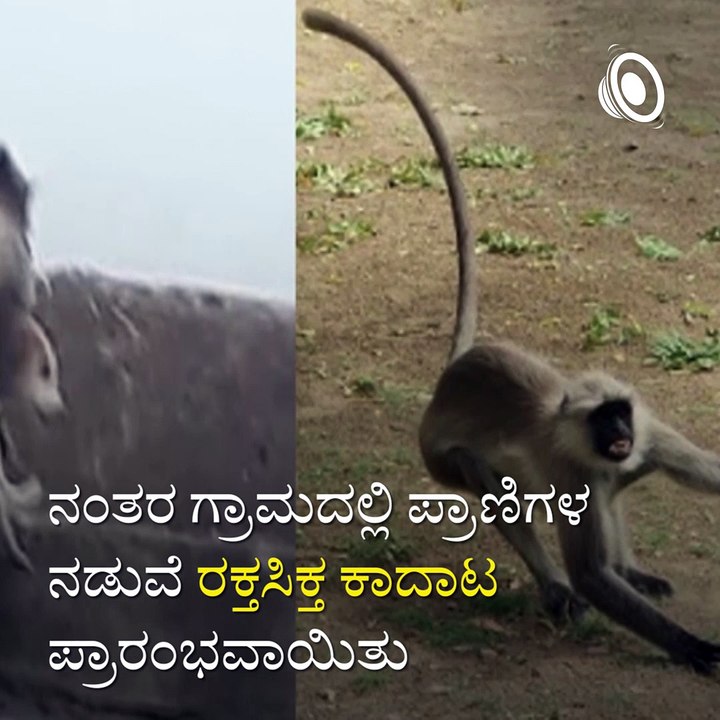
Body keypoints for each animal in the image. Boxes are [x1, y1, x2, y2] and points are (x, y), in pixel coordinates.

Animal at [302, 8, 720, 673]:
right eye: (602, 418)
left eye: (619, 413)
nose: (617, 433)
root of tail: (451, 377)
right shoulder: (576, 473)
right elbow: (591, 574)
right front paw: (693, 646)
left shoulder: (646, 435)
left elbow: (704, 470)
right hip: (439, 455)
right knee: (496, 489)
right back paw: (557, 588)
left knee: (611, 488)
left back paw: (627, 569)